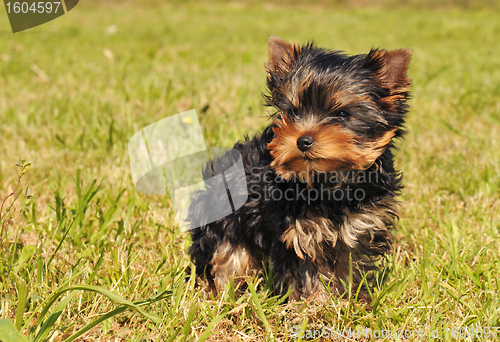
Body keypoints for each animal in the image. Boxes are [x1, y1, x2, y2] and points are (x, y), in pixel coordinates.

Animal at [188, 36, 410, 300]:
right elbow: (307, 273)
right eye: (294, 111)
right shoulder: (297, 232)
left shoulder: (360, 228)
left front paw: (352, 299)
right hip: (222, 218)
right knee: (227, 256)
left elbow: (350, 264)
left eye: (342, 114)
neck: (328, 182)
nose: (303, 140)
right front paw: (316, 304)